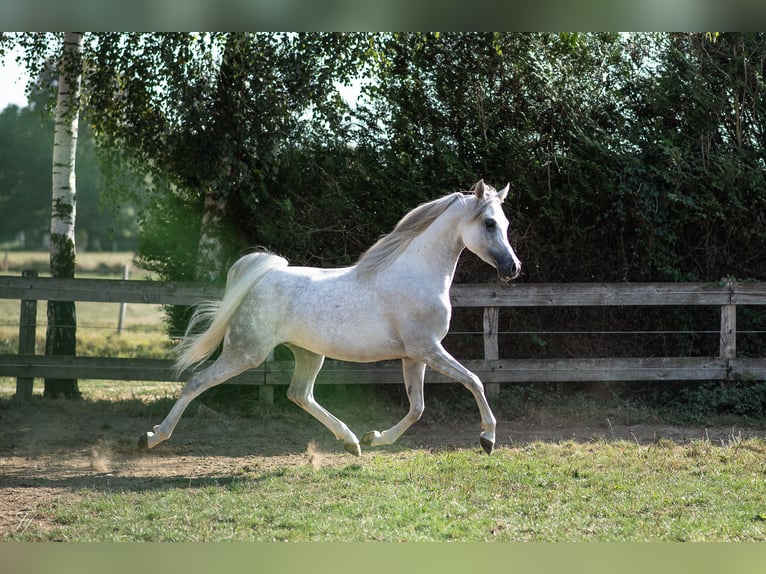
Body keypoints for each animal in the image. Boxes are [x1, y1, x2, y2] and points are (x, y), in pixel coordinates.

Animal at [138, 180, 520, 460]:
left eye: (505, 224)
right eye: (489, 223)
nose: (513, 268)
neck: (415, 274)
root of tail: (263, 277)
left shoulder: (415, 355)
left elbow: (417, 407)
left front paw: (376, 437)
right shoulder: (428, 349)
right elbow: (474, 381)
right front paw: (488, 439)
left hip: (308, 353)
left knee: (299, 394)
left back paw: (352, 442)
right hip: (246, 352)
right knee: (196, 382)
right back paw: (152, 437)